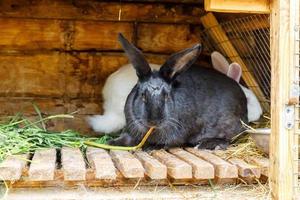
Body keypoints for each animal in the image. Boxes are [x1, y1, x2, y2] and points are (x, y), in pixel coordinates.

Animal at [108, 34, 248, 150]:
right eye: (143, 96)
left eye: (166, 97)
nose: (154, 121)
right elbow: (126, 138)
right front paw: (111, 143)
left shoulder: (177, 135)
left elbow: (168, 143)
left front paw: (151, 147)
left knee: (229, 140)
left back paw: (207, 144)